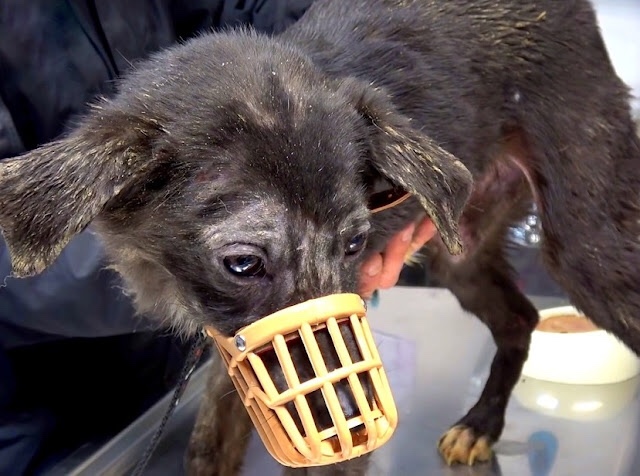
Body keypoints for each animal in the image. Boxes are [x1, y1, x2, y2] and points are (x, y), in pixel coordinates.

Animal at [0, 0, 636, 474]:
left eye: (354, 244)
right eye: (242, 263)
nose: (358, 420)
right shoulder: (239, 353)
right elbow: (209, 446)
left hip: (587, 246)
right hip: (462, 252)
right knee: (520, 320)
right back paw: (481, 424)